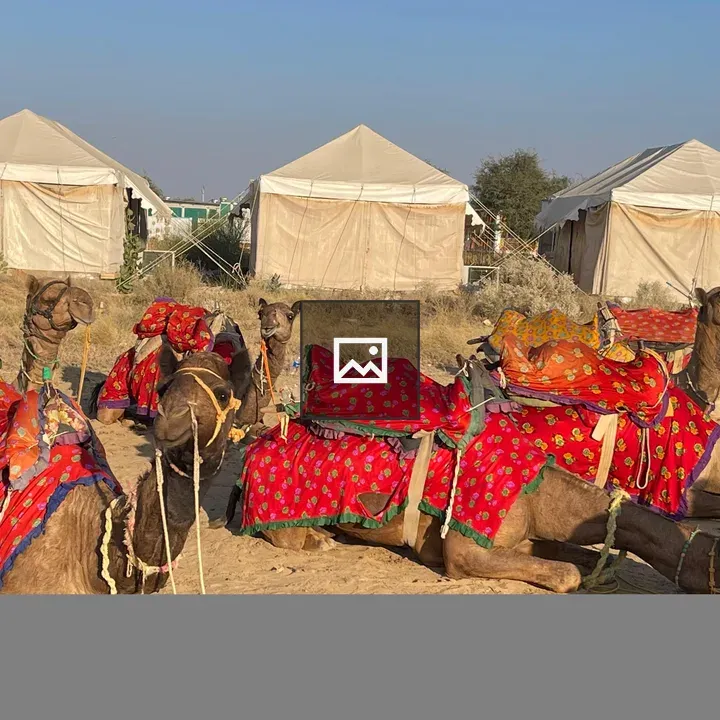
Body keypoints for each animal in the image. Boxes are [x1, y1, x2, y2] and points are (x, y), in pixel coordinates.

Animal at [223, 354, 719, 594]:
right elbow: (567, 575)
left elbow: (579, 556)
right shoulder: (464, 553)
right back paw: (317, 539)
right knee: (285, 536)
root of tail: (257, 441)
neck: (540, 493)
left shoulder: (526, 534)